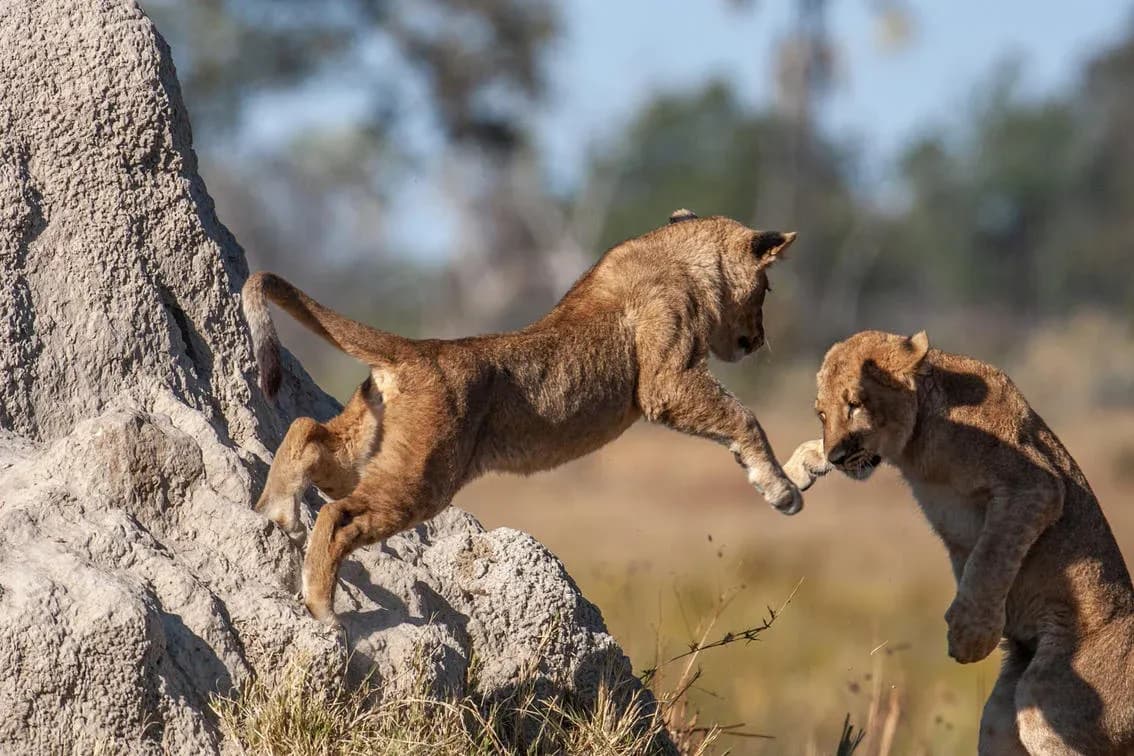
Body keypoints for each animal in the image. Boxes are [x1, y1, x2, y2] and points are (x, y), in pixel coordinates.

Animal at [243, 210, 803, 626]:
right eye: (767, 291)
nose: (759, 340)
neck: (674, 254)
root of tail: (416, 350)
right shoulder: (666, 382)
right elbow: (743, 416)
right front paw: (781, 489)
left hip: (368, 445)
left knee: (307, 432)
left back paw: (277, 511)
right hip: (422, 477)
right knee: (339, 515)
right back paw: (320, 604)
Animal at [783, 329, 1134, 755]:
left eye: (855, 405)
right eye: (822, 414)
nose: (836, 456)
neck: (915, 441)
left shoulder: (1035, 484)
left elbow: (990, 555)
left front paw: (971, 635)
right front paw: (793, 470)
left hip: (1049, 699)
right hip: (1000, 718)